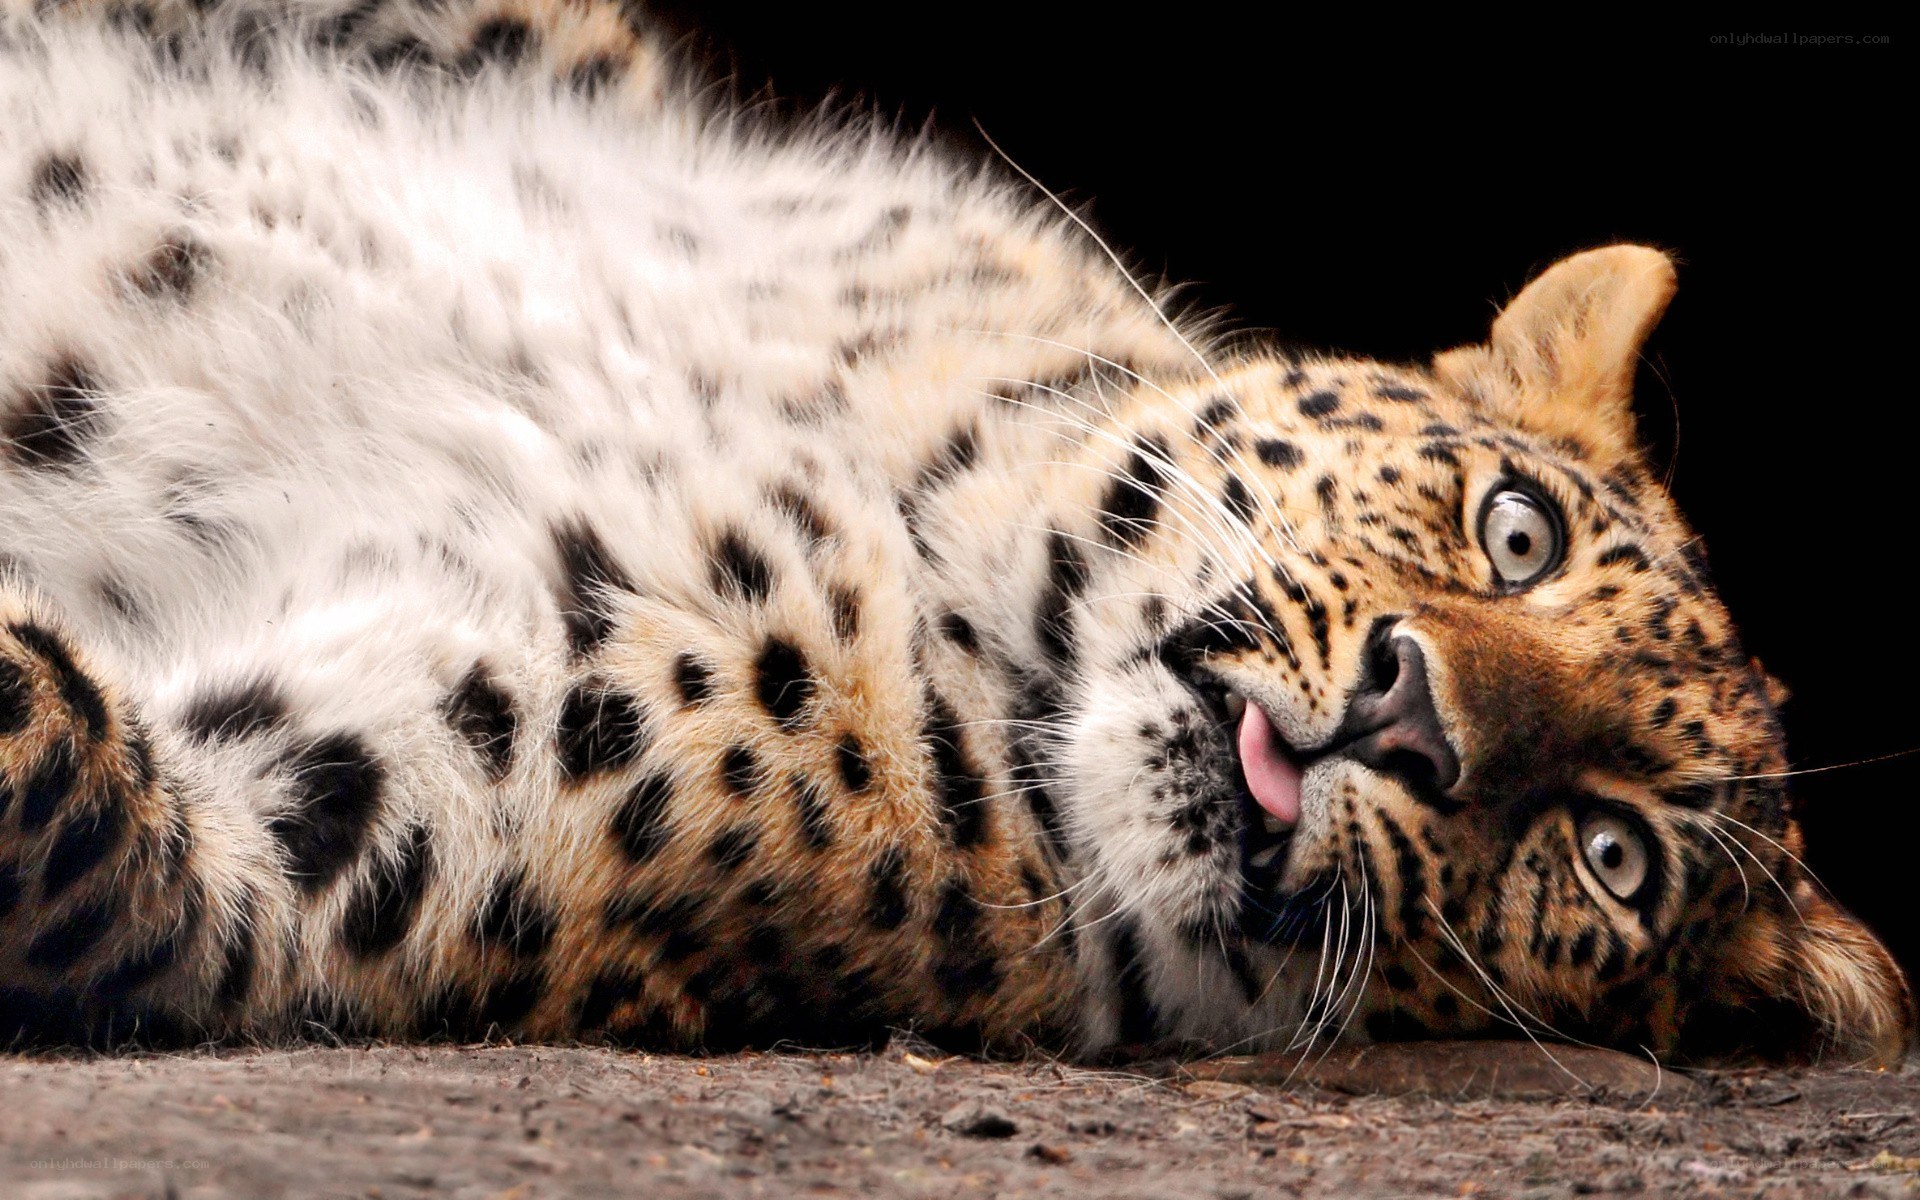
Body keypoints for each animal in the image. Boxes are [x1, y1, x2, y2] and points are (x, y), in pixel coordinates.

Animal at [0, 0, 1909, 1067]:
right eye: (1515, 533)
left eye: (1611, 861)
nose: (1415, 716)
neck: (921, 523)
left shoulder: (331, 843)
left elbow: (95, 813)